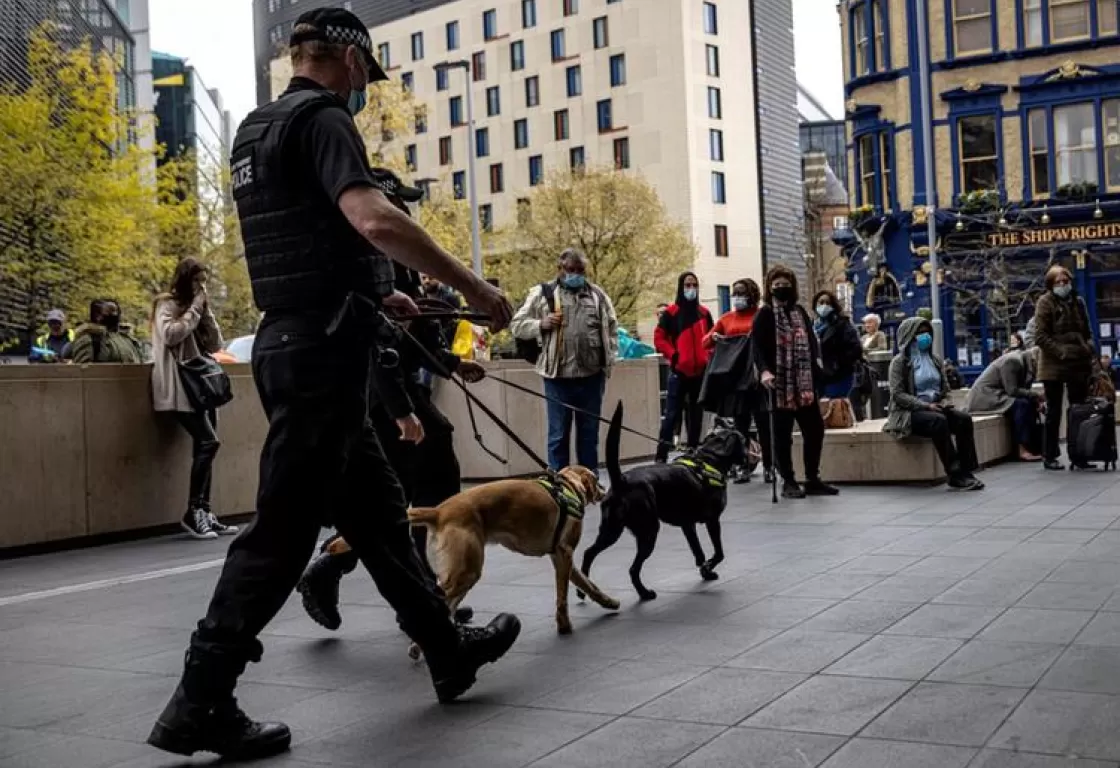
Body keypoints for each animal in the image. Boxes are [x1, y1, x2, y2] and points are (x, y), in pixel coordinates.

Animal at [409, 465, 622, 653]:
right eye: (595, 479)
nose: (605, 489)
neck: (567, 486)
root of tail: (439, 512)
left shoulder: (560, 557)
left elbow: (589, 585)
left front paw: (608, 601)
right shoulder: (565, 553)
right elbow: (562, 598)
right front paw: (564, 626)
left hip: (459, 576)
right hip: (466, 573)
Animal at [582, 403, 748, 600]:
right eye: (743, 440)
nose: (748, 457)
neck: (710, 457)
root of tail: (621, 480)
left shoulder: (688, 525)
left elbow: (698, 552)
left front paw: (705, 571)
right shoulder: (712, 520)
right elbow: (719, 552)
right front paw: (709, 566)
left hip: (610, 530)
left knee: (589, 553)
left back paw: (582, 590)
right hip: (648, 531)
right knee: (633, 569)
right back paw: (644, 593)